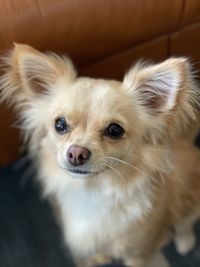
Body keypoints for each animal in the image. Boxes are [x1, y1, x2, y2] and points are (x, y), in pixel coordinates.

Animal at [0, 44, 200, 267]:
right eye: (59, 124)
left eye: (115, 130)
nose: (76, 153)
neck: (92, 191)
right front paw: (97, 258)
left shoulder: (140, 254)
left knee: (184, 223)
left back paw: (184, 241)